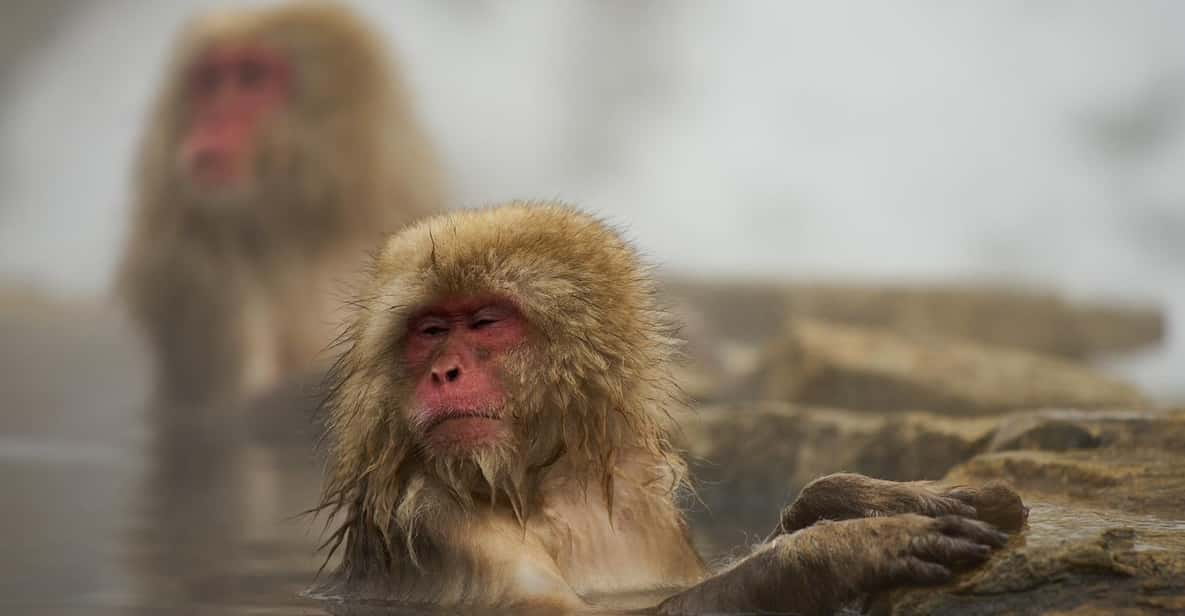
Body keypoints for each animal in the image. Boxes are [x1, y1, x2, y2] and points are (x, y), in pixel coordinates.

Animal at [313, 202, 1021, 614]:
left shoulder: (648, 509)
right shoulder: (443, 526)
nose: (443, 371)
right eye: (429, 331)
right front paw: (843, 549)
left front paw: (851, 500)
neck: (552, 488)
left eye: (485, 322)